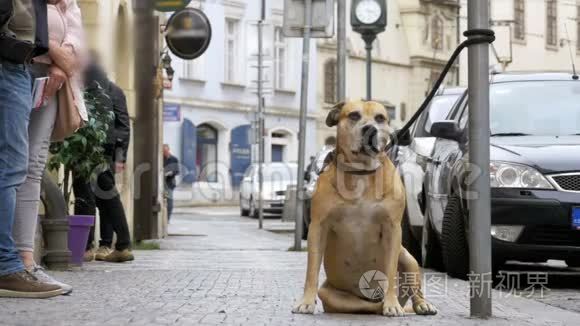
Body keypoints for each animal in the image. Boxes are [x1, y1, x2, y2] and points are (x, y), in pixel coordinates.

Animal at [294, 100, 436, 318]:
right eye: (354, 115)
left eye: (380, 118)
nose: (370, 129)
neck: (360, 172)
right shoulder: (318, 227)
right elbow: (312, 269)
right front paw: (306, 302)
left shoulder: (393, 229)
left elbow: (390, 270)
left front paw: (392, 304)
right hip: (331, 295)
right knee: (365, 307)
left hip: (408, 258)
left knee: (413, 286)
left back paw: (420, 304)